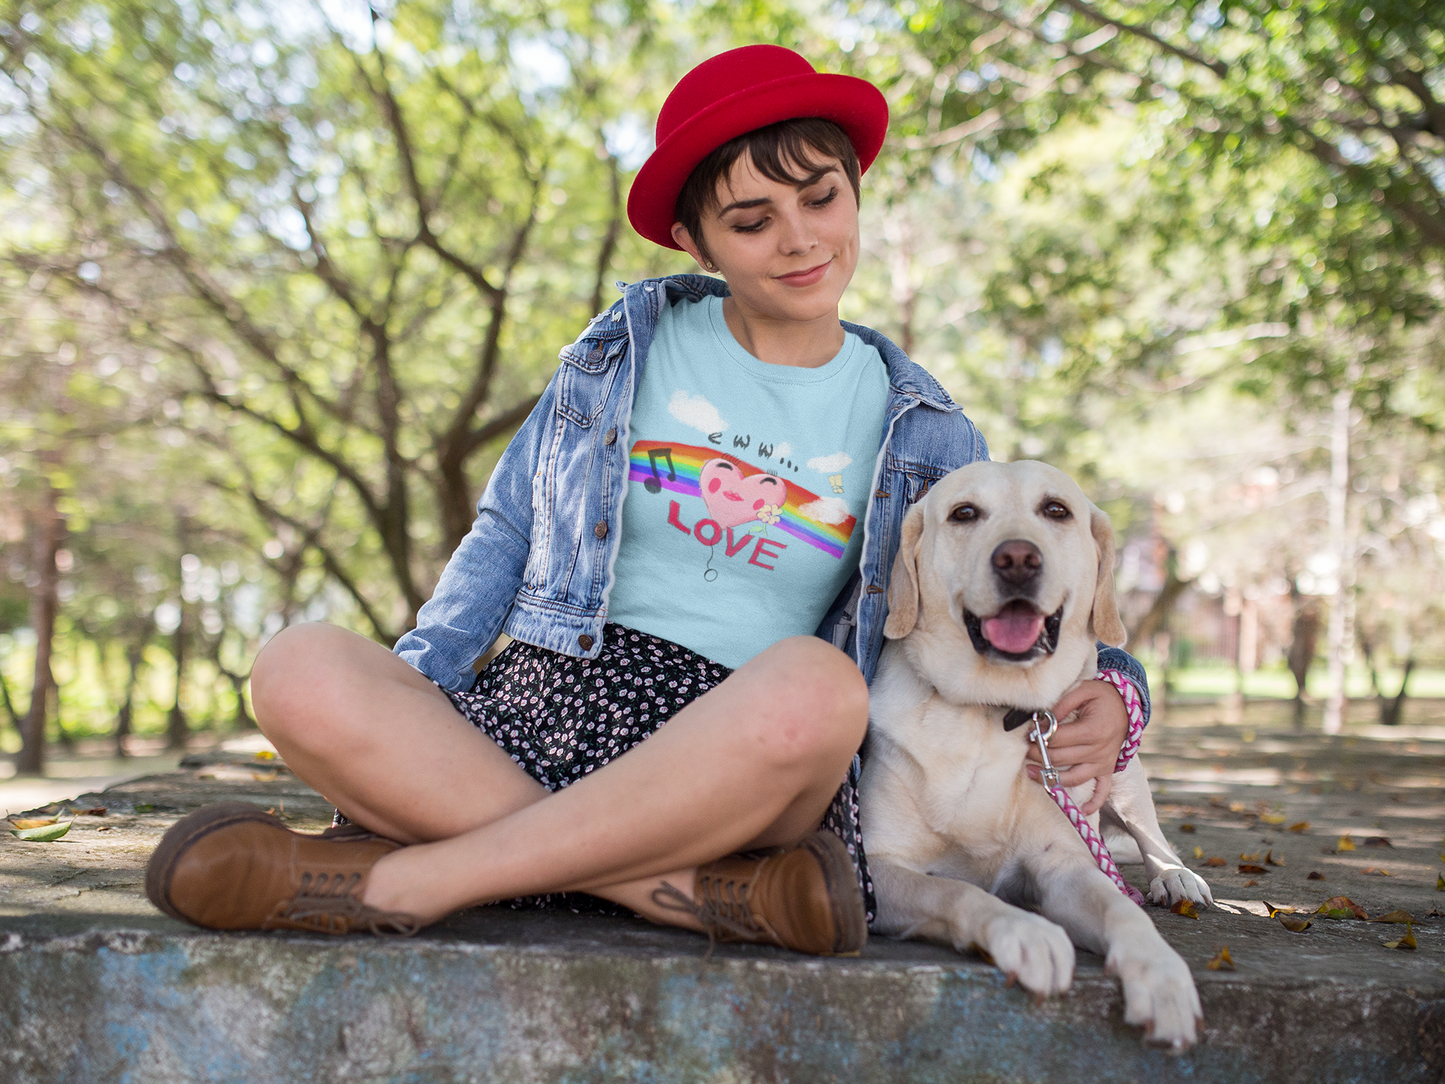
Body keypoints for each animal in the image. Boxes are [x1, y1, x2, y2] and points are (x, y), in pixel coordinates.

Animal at [861, 459, 1202, 1052]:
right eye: (964, 513)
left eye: (1056, 510)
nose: (1018, 558)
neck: (994, 710)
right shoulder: (875, 867)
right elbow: (954, 889)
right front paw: (1025, 931)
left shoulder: (1063, 865)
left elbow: (1123, 911)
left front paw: (1161, 974)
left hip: (1126, 778)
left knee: (1152, 839)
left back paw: (1176, 877)